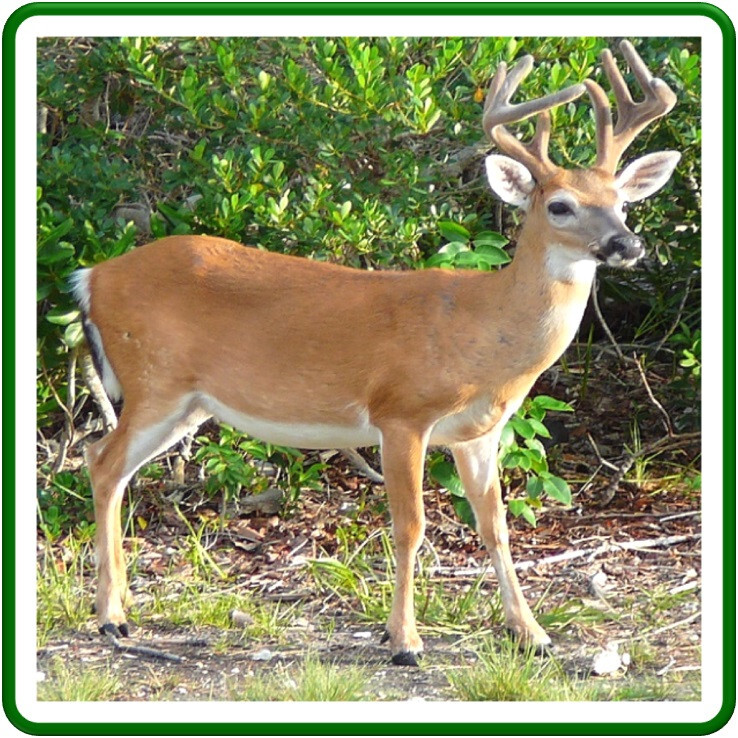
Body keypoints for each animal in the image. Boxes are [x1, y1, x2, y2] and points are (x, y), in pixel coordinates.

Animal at [70, 40, 679, 666]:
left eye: (621, 201)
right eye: (559, 205)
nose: (627, 244)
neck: (482, 332)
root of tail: (91, 277)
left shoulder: (479, 431)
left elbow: (496, 525)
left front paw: (531, 633)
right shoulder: (401, 412)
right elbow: (411, 525)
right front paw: (405, 641)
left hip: (186, 402)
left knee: (109, 466)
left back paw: (120, 608)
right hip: (154, 379)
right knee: (102, 460)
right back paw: (111, 618)